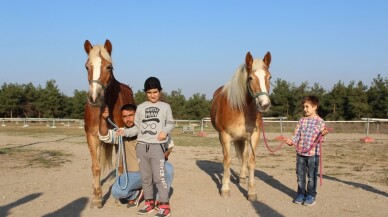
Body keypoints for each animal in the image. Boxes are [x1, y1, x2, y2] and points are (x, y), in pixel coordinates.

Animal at [83, 39, 135, 209]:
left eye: (109, 67)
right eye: (87, 66)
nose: (94, 97)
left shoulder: (120, 137)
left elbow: (120, 166)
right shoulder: (92, 137)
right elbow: (96, 167)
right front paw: (97, 197)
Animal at [211, 51, 272, 201]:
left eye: (269, 77)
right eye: (250, 78)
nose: (264, 104)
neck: (240, 109)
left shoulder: (254, 136)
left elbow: (251, 161)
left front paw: (251, 191)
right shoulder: (225, 136)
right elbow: (227, 160)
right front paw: (225, 188)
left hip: (243, 138)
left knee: (243, 156)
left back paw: (242, 177)